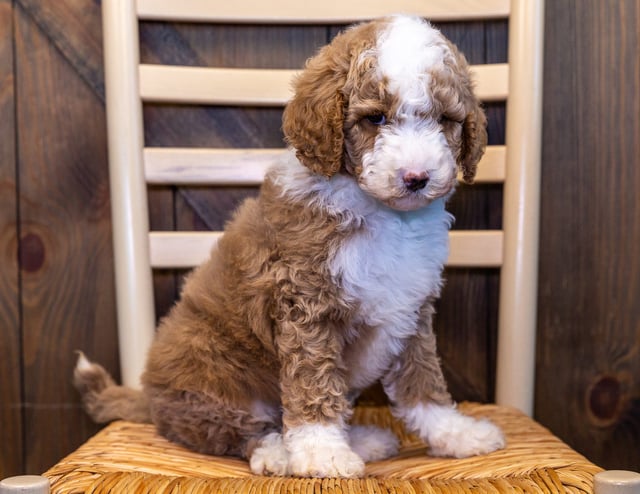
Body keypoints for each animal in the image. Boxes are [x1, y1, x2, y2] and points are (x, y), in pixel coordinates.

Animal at [75, 14, 504, 478]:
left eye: (445, 119)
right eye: (375, 119)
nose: (416, 177)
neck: (386, 215)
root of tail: (149, 398)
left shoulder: (411, 307)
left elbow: (422, 381)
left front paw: (455, 434)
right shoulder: (306, 303)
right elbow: (313, 382)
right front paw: (321, 453)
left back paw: (362, 440)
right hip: (212, 372)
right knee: (231, 428)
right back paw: (279, 452)